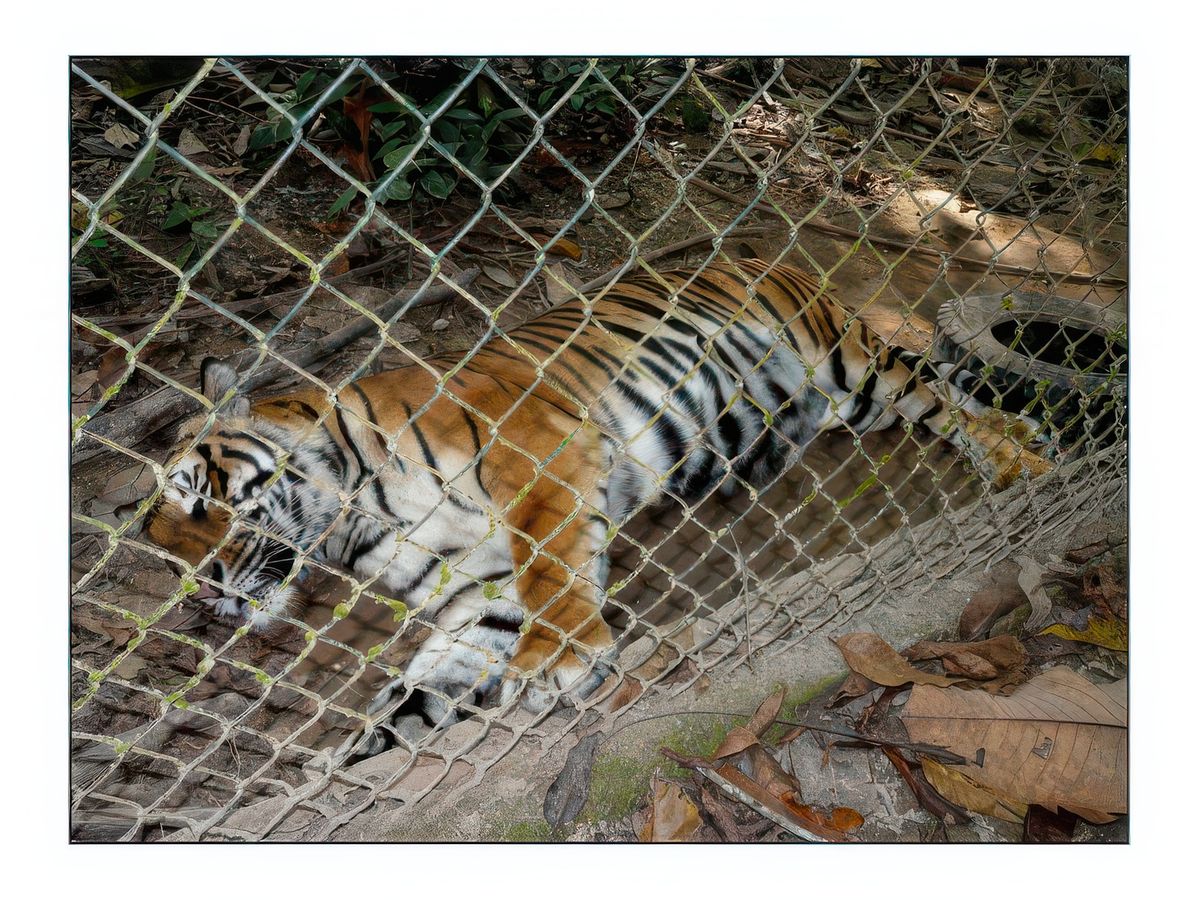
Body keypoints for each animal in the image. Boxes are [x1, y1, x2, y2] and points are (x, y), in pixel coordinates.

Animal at [130, 258, 1050, 758]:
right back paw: (1021, 439)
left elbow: (551, 563)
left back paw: (1021, 457)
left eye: (193, 495)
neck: (356, 526)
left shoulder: (535, 450)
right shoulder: (477, 592)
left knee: (944, 394)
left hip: (848, 364)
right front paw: (358, 763)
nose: (199, 594)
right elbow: (420, 689)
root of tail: (763, 254)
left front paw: (560, 659)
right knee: (938, 401)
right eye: (163, 550)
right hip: (824, 412)